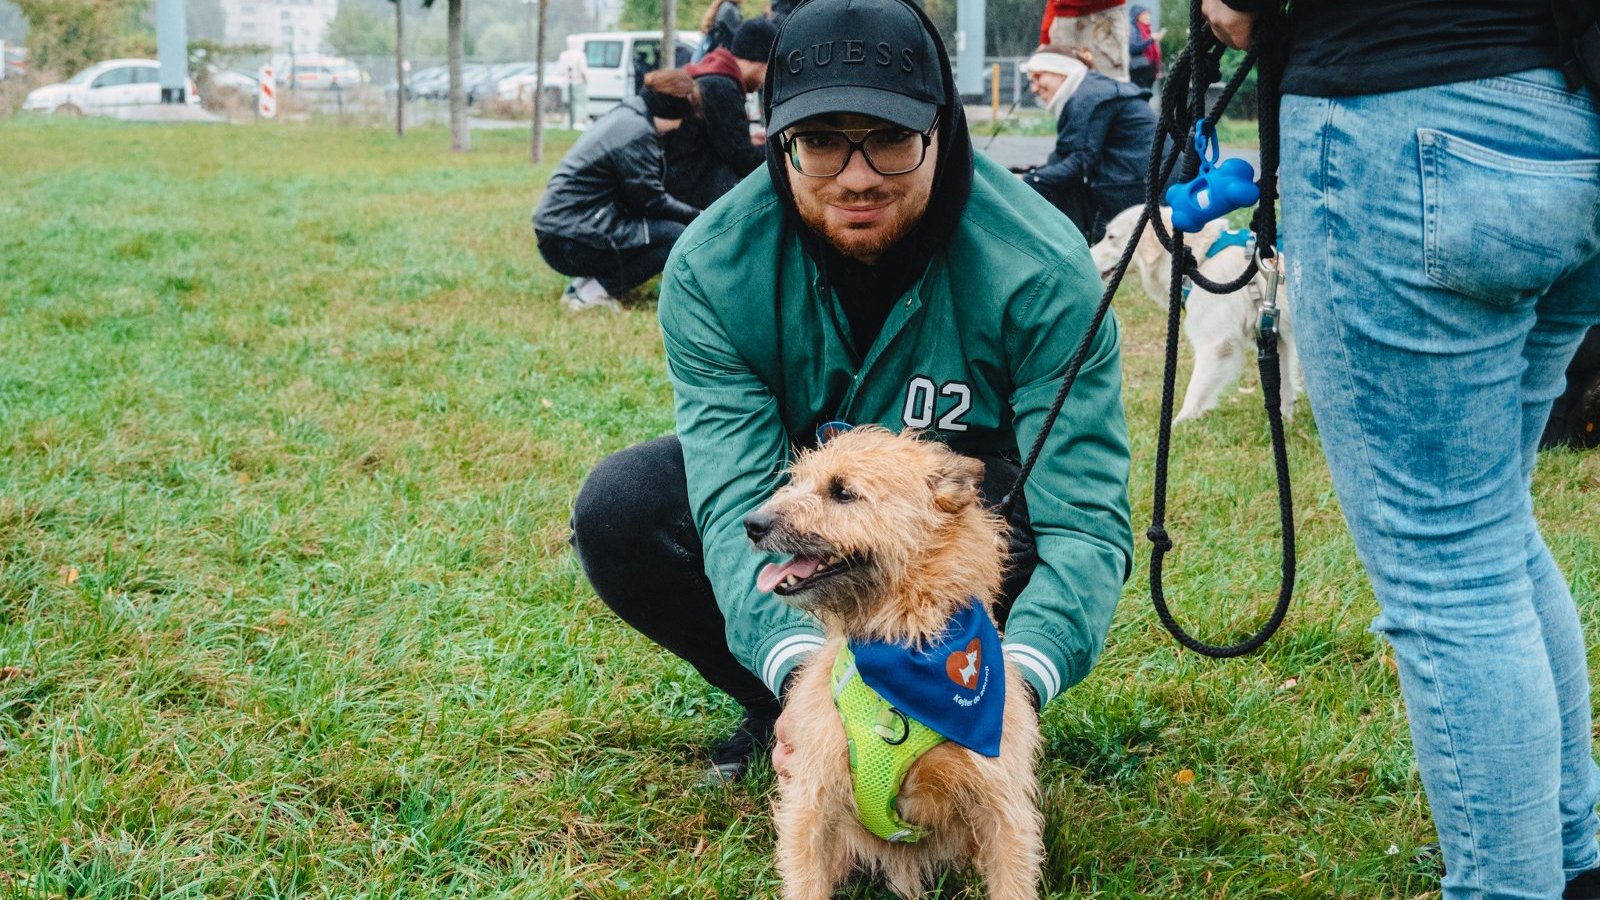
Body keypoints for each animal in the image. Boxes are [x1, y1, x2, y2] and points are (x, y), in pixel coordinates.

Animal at [742, 425, 1043, 896]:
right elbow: (806, 879)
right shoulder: (811, 796)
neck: (904, 641)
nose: (752, 523)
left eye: (842, 492)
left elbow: (1012, 880)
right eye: (798, 480)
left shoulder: (1002, 804)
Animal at [1088, 204, 1299, 422]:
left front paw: (1180, 423)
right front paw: (1284, 420)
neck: (1201, 258)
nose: (1087, 253)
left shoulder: (1215, 343)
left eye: (1111, 237)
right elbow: (1283, 384)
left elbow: (1195, 390)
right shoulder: (1273, 336)